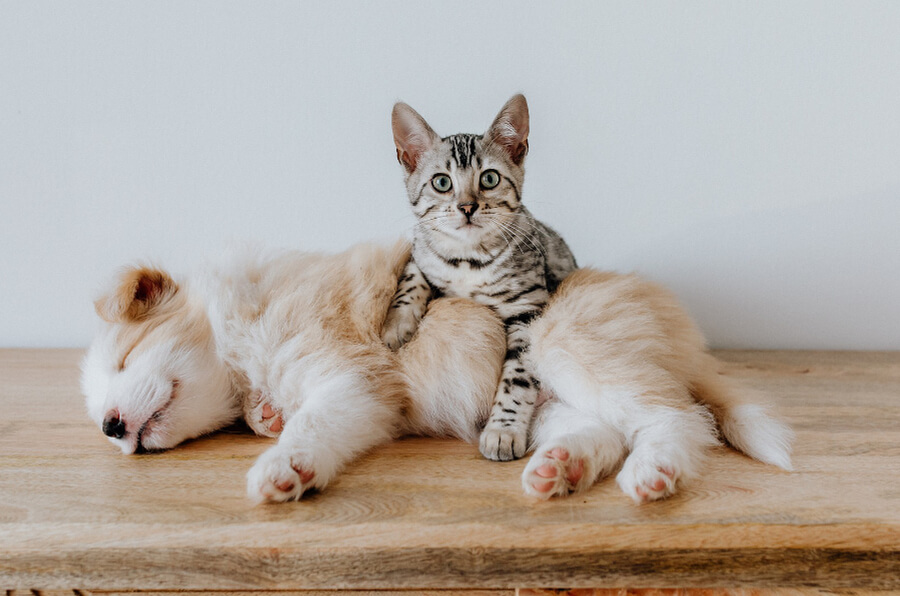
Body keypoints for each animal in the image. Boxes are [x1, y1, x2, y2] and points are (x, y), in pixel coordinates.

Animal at [82, 240, 506, 500]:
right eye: (101, 421)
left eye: (126, 357)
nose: (109, 426)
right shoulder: (369, 400)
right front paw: (265, 414)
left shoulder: (355, 374)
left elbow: (314, 422)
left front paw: (285, 464)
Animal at [382, 95, 576, 464]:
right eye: (442, 182)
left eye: (488, 179)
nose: (467, 207)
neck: (468, 261)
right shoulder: (421, 250)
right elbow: (413, 277)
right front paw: (396, 324)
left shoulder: (528, 308)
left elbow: (518, 376)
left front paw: (504, 429)